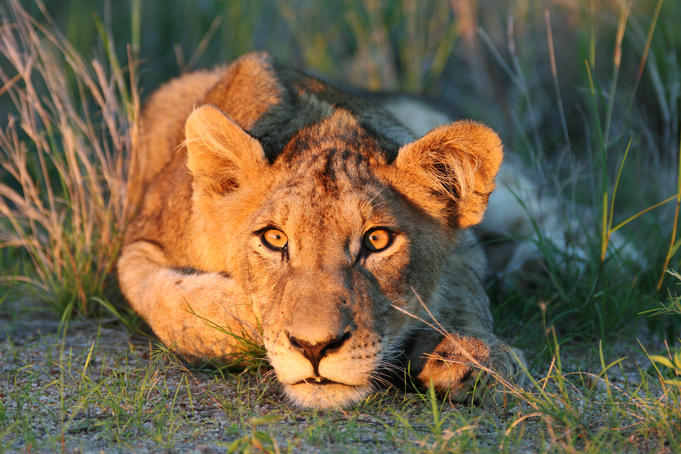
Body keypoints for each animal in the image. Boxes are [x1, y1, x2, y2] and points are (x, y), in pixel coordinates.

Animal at [117, 52, 525, 408]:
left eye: (377, 240)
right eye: (275, 239)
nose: (314, 347)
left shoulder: (464, 247)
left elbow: (464, 291)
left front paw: (471, 355)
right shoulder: (140, 240)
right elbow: (169, 303)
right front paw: (247, 316)